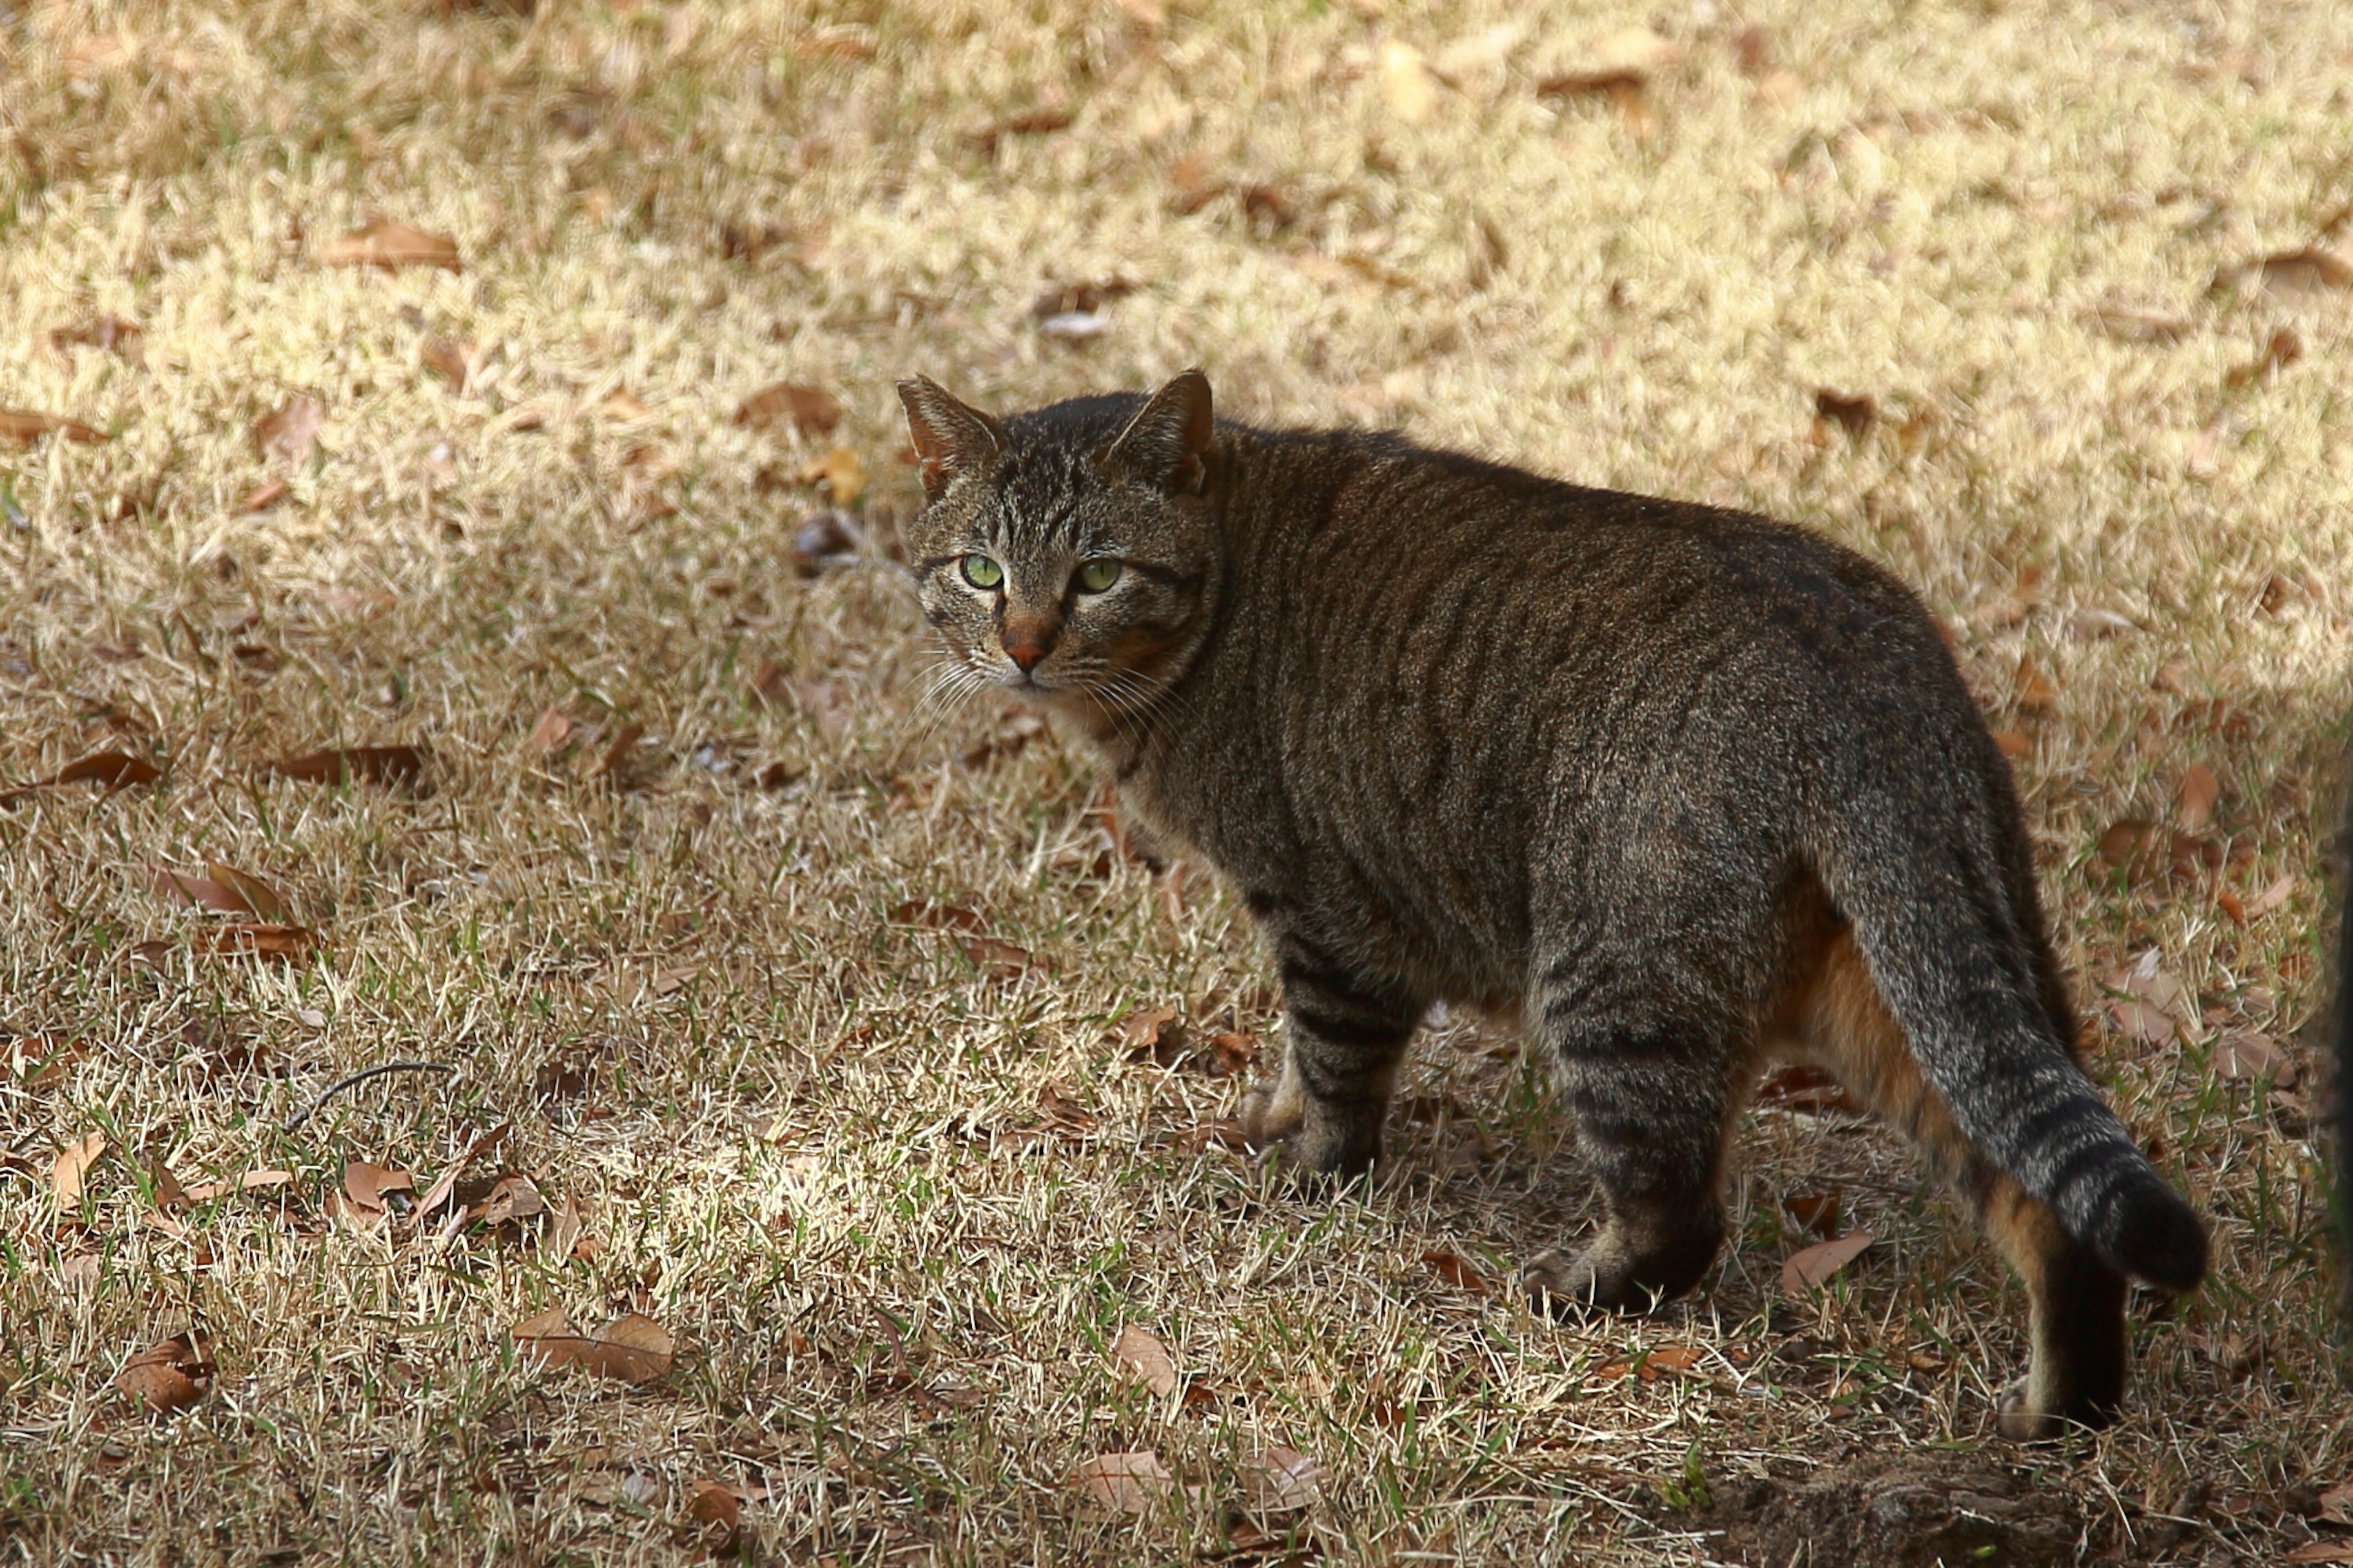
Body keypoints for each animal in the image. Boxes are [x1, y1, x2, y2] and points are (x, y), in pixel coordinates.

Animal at [894, 362, 2202, 1431]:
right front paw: (1266, 1118)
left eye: (1100, 574)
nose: (1022, 644)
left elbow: (1332, 1072)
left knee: (1681, 1216)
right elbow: (1293, 1062)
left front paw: (1306, 1169)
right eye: (982, 570)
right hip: (1917, 990)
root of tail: (1870, 661)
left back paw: (1567, 1295)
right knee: (2050, 1201)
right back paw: (2062, 1413)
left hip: (1615, 981)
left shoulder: (1328, 919)